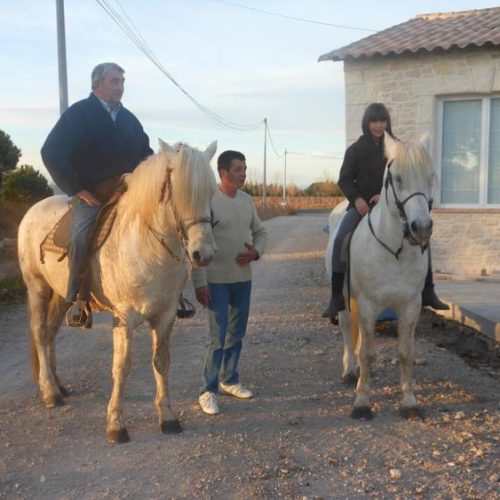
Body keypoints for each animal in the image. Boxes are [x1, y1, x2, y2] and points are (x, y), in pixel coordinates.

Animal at [18, 140, 217, 442]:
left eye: (211, 191)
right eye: (178, 190)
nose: (202, 254)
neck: (149, 245)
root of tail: (33, 210)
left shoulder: (165, 316)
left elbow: (162, 362)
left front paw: (168, 417)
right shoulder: (124, 317)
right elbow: (121, 368)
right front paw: (116, 424)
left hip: (62, 296)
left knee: (51, 332)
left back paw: (59, 385)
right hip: (37, 288)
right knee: (41, 333)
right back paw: (50, 392)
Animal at [326, 132, 436, 418]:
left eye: (430, 176)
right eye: (396, 178)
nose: (421, 228)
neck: (394, 251)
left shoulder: (411, 306)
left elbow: (406, 353)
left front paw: (409, 402)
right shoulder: (368, 304)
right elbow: (366, 352)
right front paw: (362, 402)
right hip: (345, 299)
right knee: (347, 329)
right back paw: (350, 371)